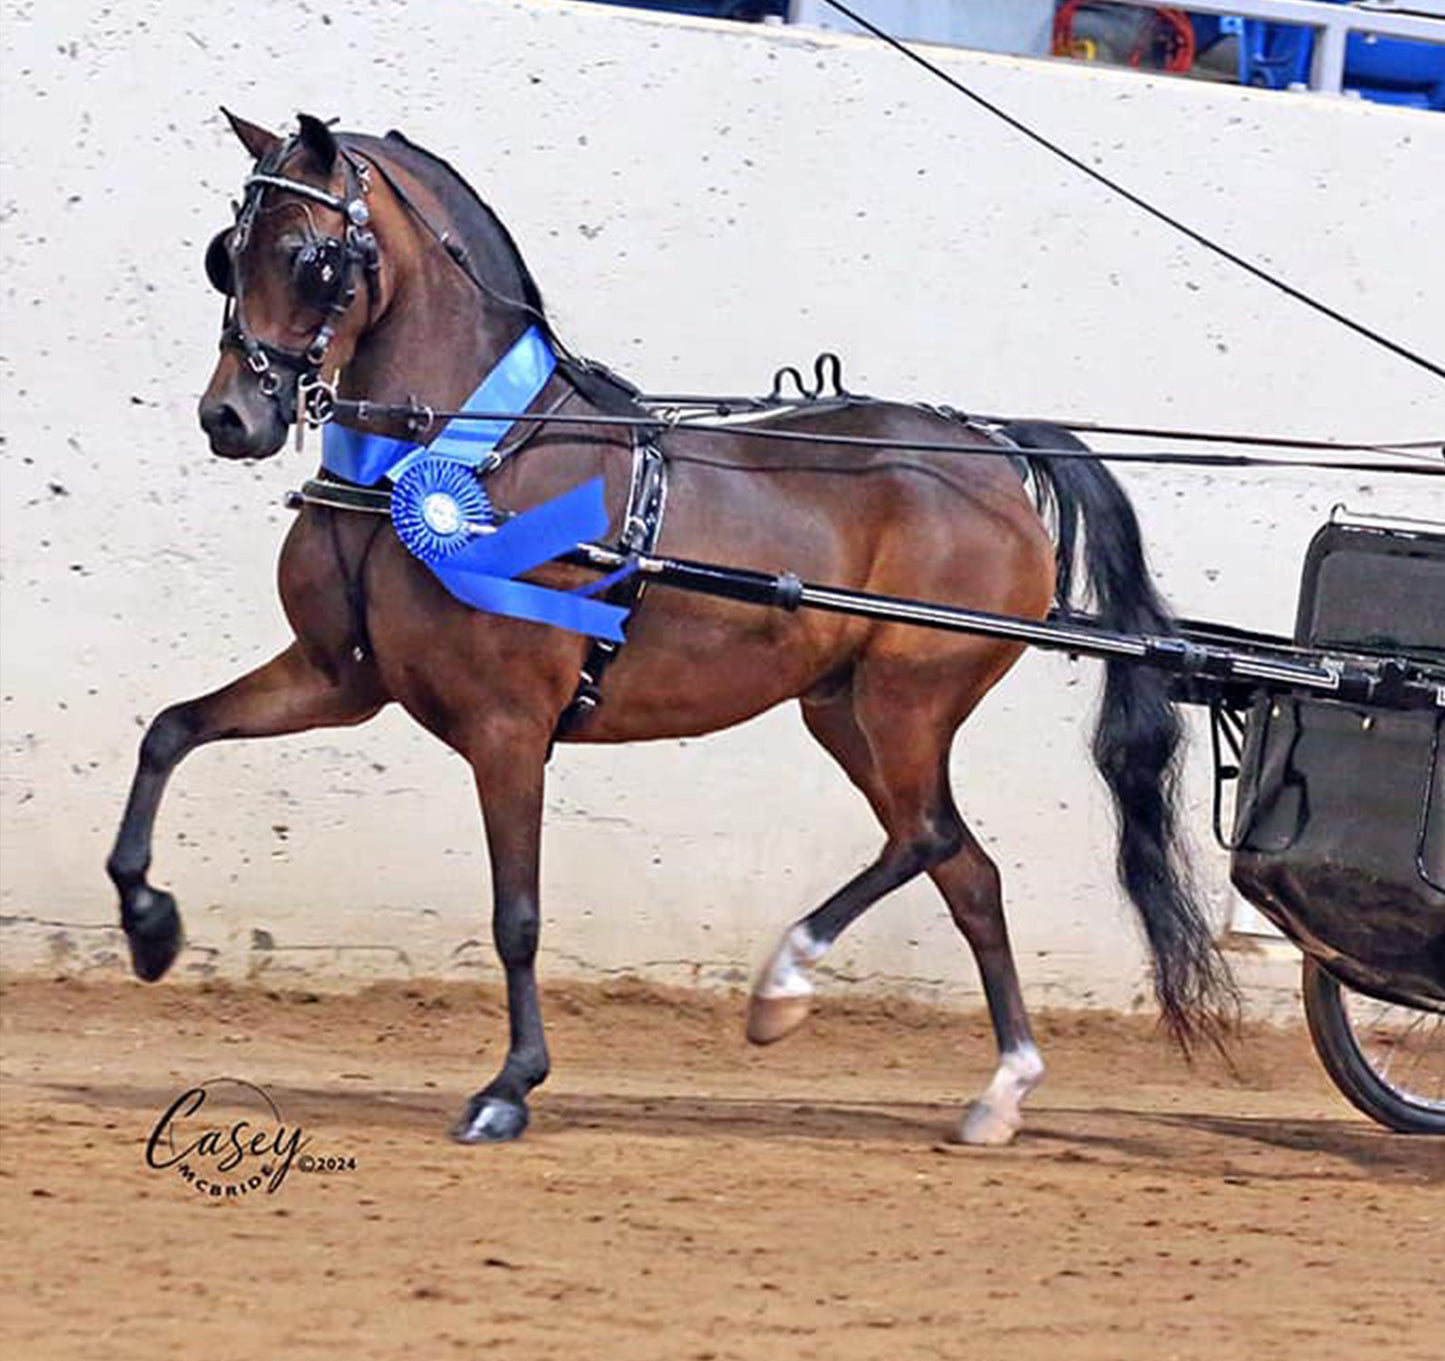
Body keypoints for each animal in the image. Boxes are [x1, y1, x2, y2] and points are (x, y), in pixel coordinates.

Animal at [104, 111, 1231, 1144]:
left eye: (310, 255)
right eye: (226, 250)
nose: (231, 418)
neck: (464, 455)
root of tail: (993, 454)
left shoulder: (508, 727)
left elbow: (517, 915)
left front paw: (508, 1086)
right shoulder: (338, 679)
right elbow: (171, 729)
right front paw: (150, 926)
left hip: (906, 699)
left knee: (924, 838)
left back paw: (782, 987)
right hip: (845, 711)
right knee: (966, 870)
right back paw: (999, 1089)